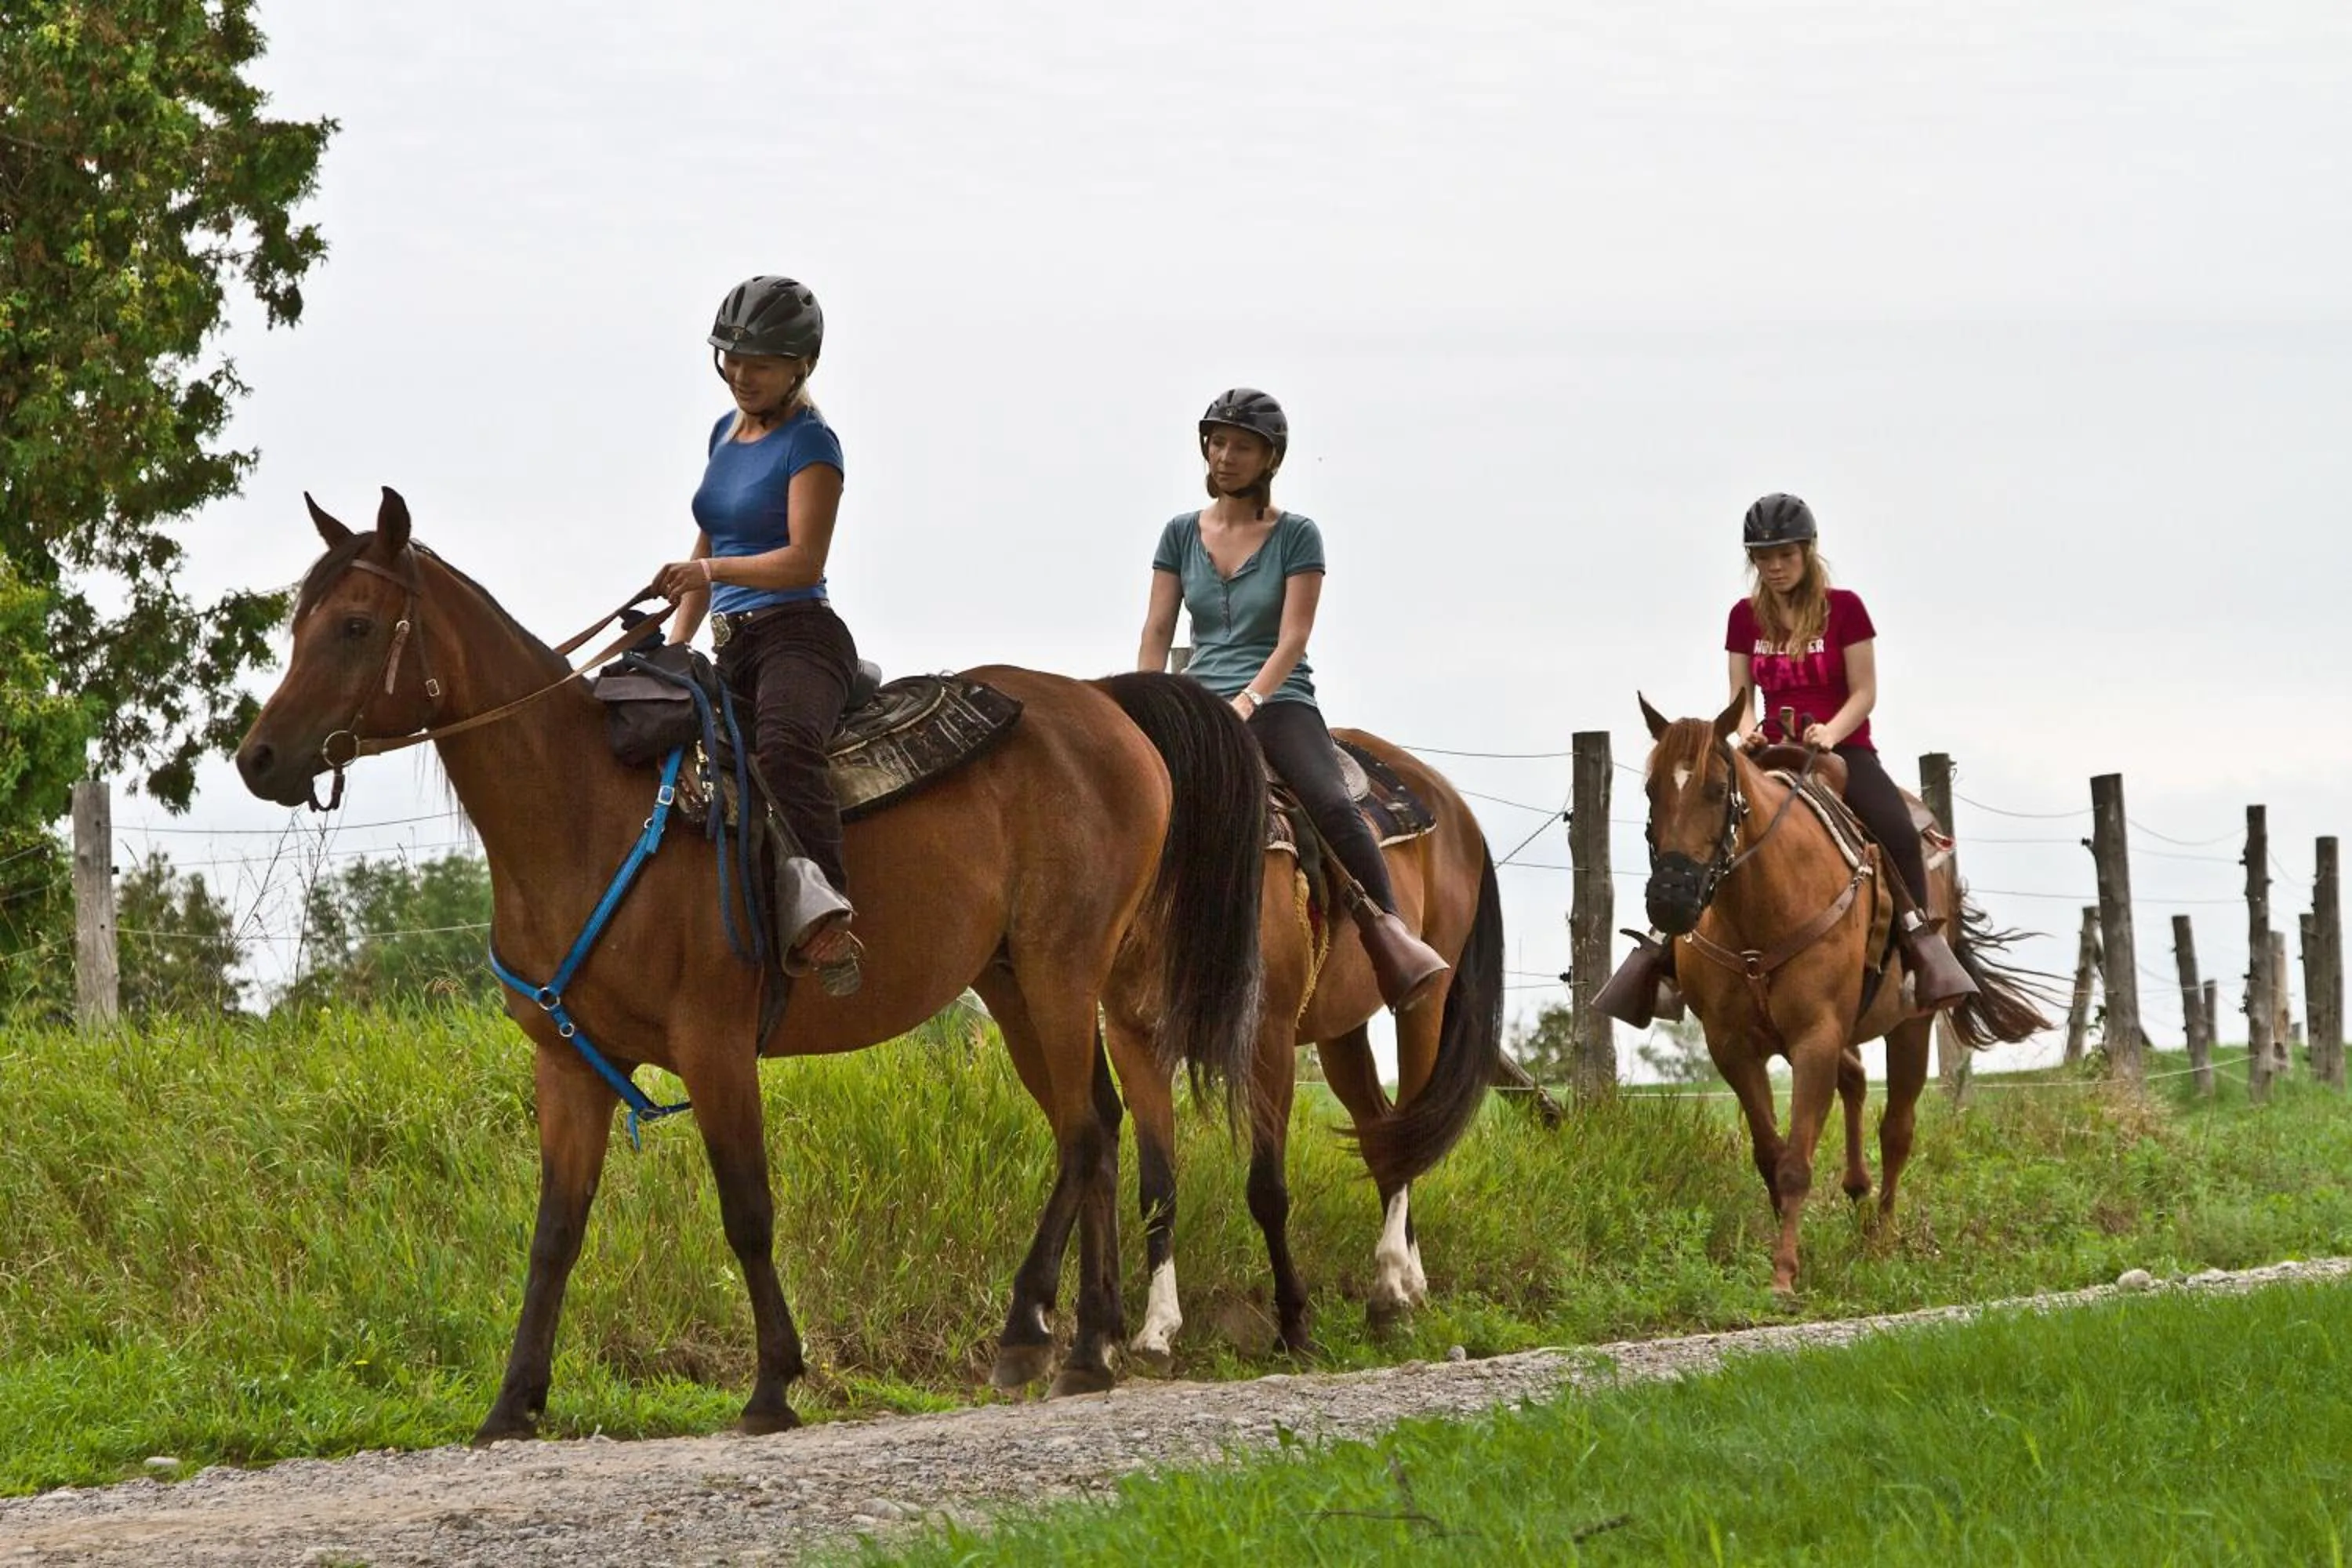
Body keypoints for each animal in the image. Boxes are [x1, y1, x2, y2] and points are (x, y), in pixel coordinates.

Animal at [234, 489, 1268, 1439]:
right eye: (299, 625)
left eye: (356, 625)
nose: (258, 758)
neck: (582, 808)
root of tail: (1104, 703)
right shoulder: (569, 1063)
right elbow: (555, 1233)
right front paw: (512, 1404)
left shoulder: (716, 1045)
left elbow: (747, 1209)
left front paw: (773, 1384)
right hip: (1010, 979)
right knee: (1091, 1125)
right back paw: (1073, 1340)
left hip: (1060, 969)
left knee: (1088, 1133)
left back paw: (1050, 1338)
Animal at [1102, 721, 1503, 1359]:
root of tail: (1452, 805)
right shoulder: (1134, 1042)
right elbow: (1157, 1191)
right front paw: (1158, 1329)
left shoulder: (1266, 1039)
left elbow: (1267, 1189)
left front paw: (1293, 1324)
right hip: (1341, 1031)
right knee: (1382, 1131)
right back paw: (1408, 1287)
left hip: (1425, 1007)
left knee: (1408, 1133)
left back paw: (1391, 1290)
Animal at [1636, 690, 2047, 1293]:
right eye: (1651, 789)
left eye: (1715, 788)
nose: (1670, 899)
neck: (1760, 908)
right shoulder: (1733, 1047)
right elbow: (1771, 1153)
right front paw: (1783, 1251)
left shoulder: (1814, 1037)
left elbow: (1795, 1162)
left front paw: (1784, 1274)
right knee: (1853, 1081)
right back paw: (1857, 1189)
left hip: (1910, 1025)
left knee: (1897, 1129)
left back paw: (1881, 1239)